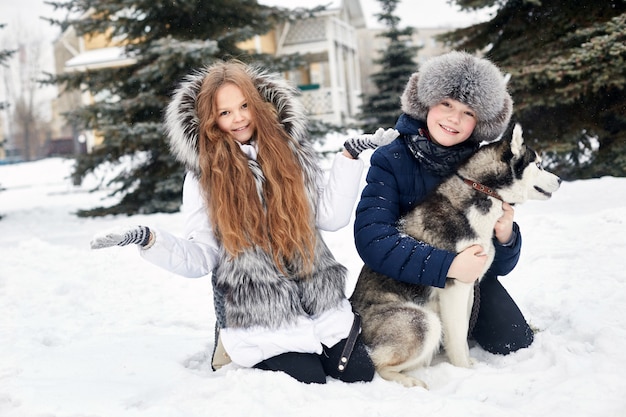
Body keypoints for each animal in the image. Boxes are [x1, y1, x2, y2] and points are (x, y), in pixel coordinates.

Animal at [352, 123, 560, 386]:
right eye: (539, 165)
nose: (560, 179)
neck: (483, 192)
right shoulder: (456, 285)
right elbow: (458, 334)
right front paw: (466, 371)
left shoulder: (469, 287)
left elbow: (459, 334)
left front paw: (468, 363)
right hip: (423, 321)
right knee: (376, 364)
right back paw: (410, 381)